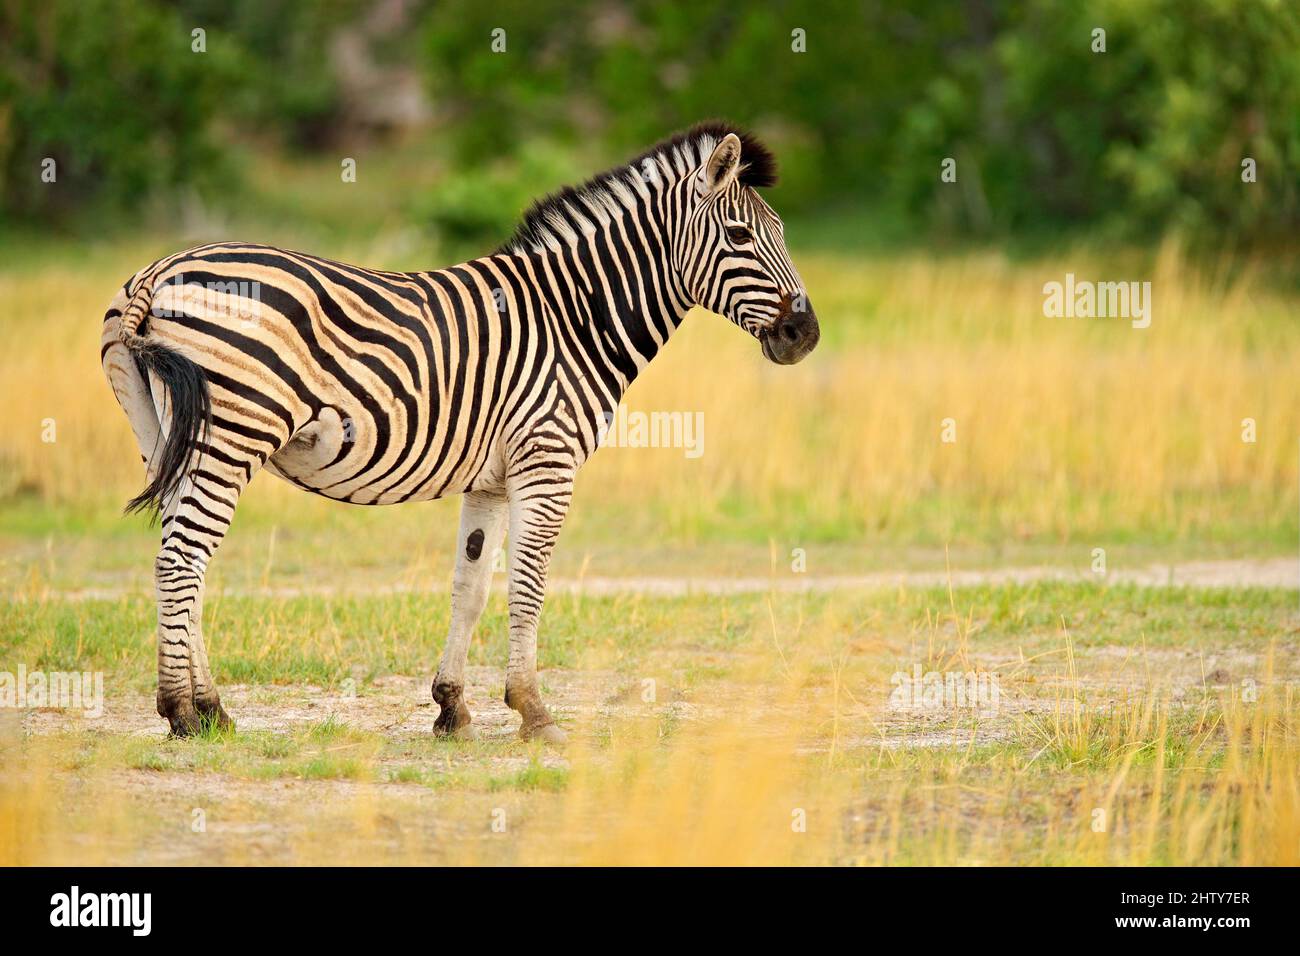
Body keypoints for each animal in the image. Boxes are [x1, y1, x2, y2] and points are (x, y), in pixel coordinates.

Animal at [100, 122, 820, 742]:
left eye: (780, 232)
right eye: (739, 236)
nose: (804, 335)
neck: (577, 316)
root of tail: (157, 272)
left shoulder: (492, 480)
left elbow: (470, 587)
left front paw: (452, 709)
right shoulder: (547, 461)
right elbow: (528, 584)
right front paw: (533, 711)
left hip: (165, 432)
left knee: (179, 555)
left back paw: (211, 709)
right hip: (234, 433)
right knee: (183, 558)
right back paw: (181, 711)